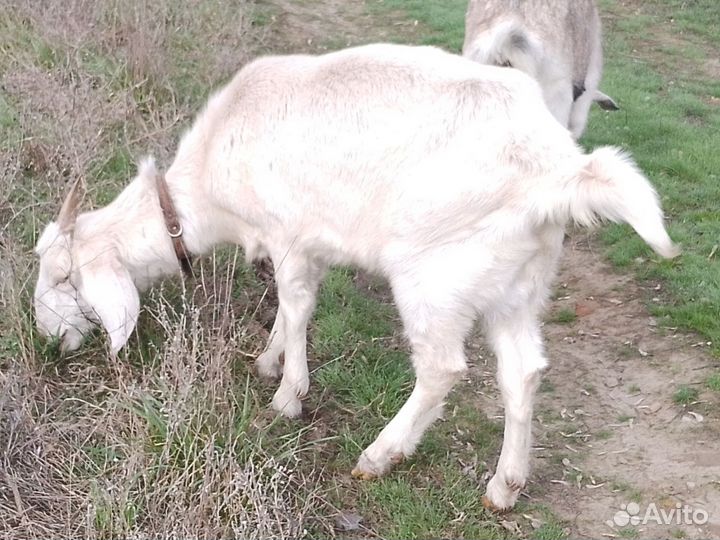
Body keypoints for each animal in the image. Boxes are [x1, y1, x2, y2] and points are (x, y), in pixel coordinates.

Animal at [33, 43, 678, 511]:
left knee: (442, 368)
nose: (47, 338)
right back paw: (504, 487)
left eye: (64, 278)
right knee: (523, 371)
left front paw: (288, 396)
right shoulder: (303, 246)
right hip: (514, 282)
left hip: (435, 275)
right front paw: (269, 362)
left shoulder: (290, 235)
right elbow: (291, 307)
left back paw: (380, 454)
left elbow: (295, 307)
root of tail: (558, 170)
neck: (206, 190)